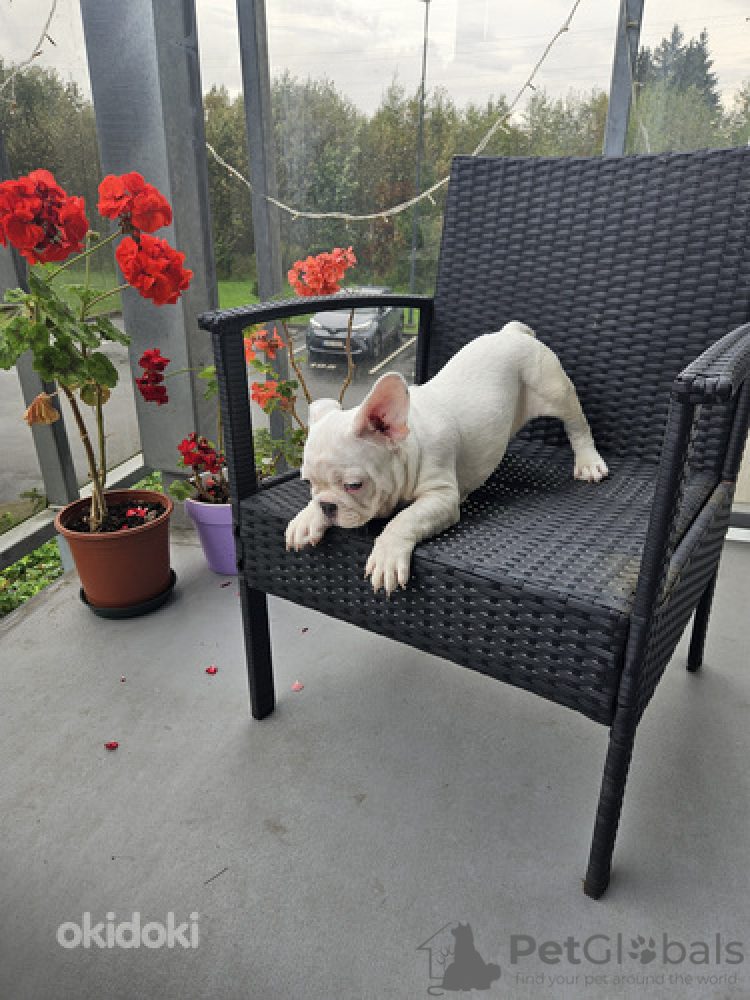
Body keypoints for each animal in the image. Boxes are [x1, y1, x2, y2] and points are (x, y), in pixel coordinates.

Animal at [286, 321, 608, 595]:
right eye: (309, 483)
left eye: (354, 485)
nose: (327, 506)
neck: (408, 446)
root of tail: (512, 332)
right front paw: (307, 517)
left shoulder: (441, 498)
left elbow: (405, 519)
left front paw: (387, 555)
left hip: (554, 390)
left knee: (577, 424)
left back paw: (588, 462)